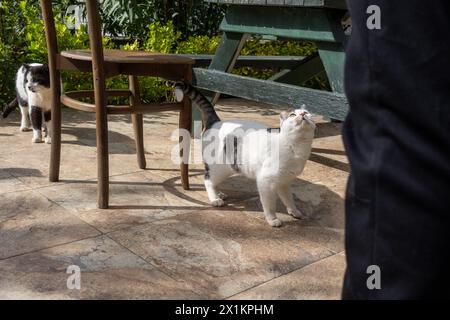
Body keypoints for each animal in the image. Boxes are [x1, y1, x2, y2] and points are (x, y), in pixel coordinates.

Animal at [174, 82, 314, 228]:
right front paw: (272, 219)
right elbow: (269, 205)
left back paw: (220, 194)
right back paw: (215, 199)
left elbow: (289, 199)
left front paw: (294, 211)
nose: (303, 113)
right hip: (220, 168)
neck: (297, 148)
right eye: (292, 114)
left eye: (307, 113)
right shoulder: (266, 181)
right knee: (208, 180)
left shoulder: (284, 182)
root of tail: (217, 121)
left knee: (213, 181)